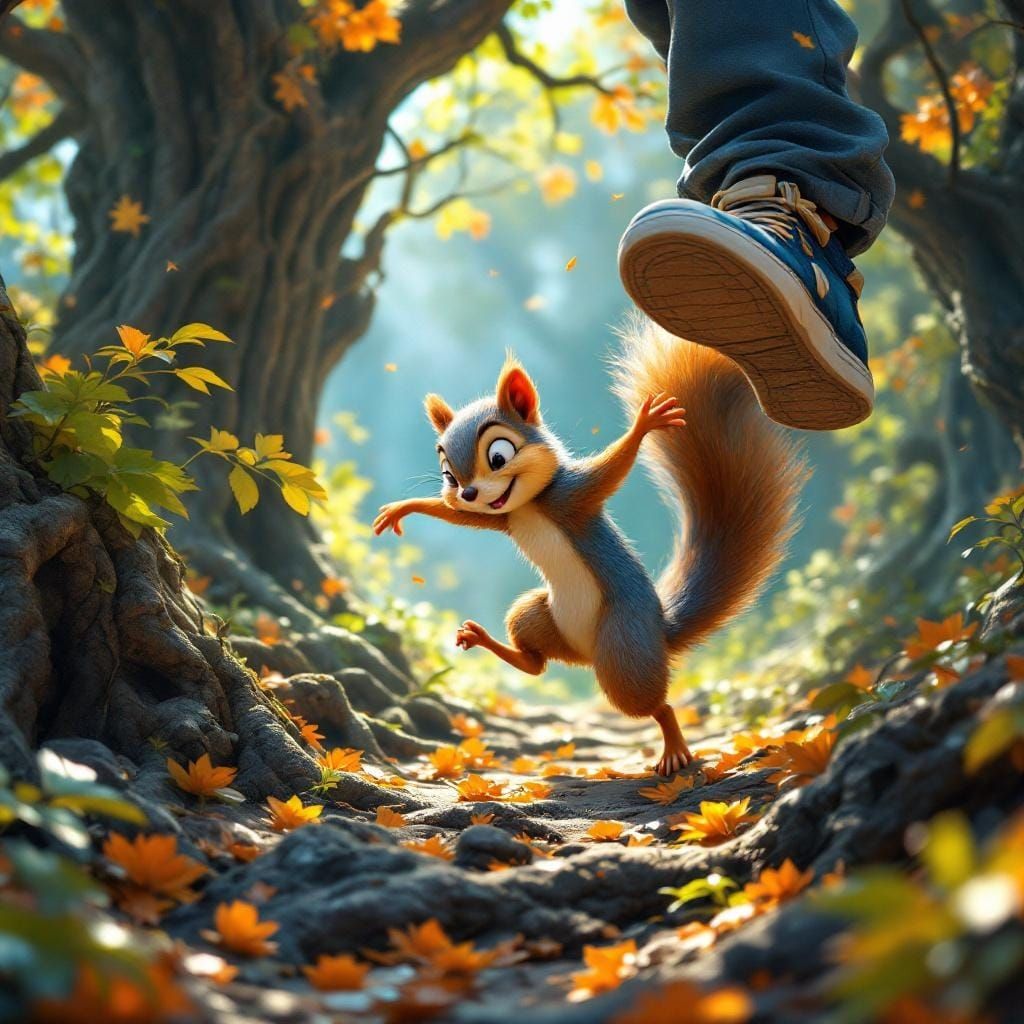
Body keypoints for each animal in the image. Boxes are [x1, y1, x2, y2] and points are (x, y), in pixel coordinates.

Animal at [373, 318, 805, 775]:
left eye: (498, 455)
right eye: (448, 475)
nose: (469, 492)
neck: (530, 503)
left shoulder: (574, 496)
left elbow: (611, 470)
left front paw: (645, 424)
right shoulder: (503, 516)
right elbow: (464, 517)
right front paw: (405, 508)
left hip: (624, 643)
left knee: (653, 705)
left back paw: (673, 748)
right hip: (536, 616)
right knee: (534, 664)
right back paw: (481, 638)